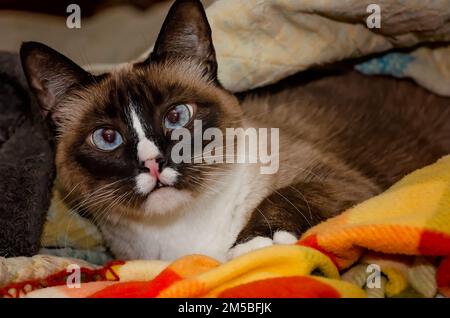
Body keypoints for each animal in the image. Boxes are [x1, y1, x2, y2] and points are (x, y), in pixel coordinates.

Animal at [21, 0, 450, 260]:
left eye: (177, 116)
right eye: (107, 138)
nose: (153, 164)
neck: (182, 234)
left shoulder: (347, 185)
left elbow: (286, 195)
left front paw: (255, 246)